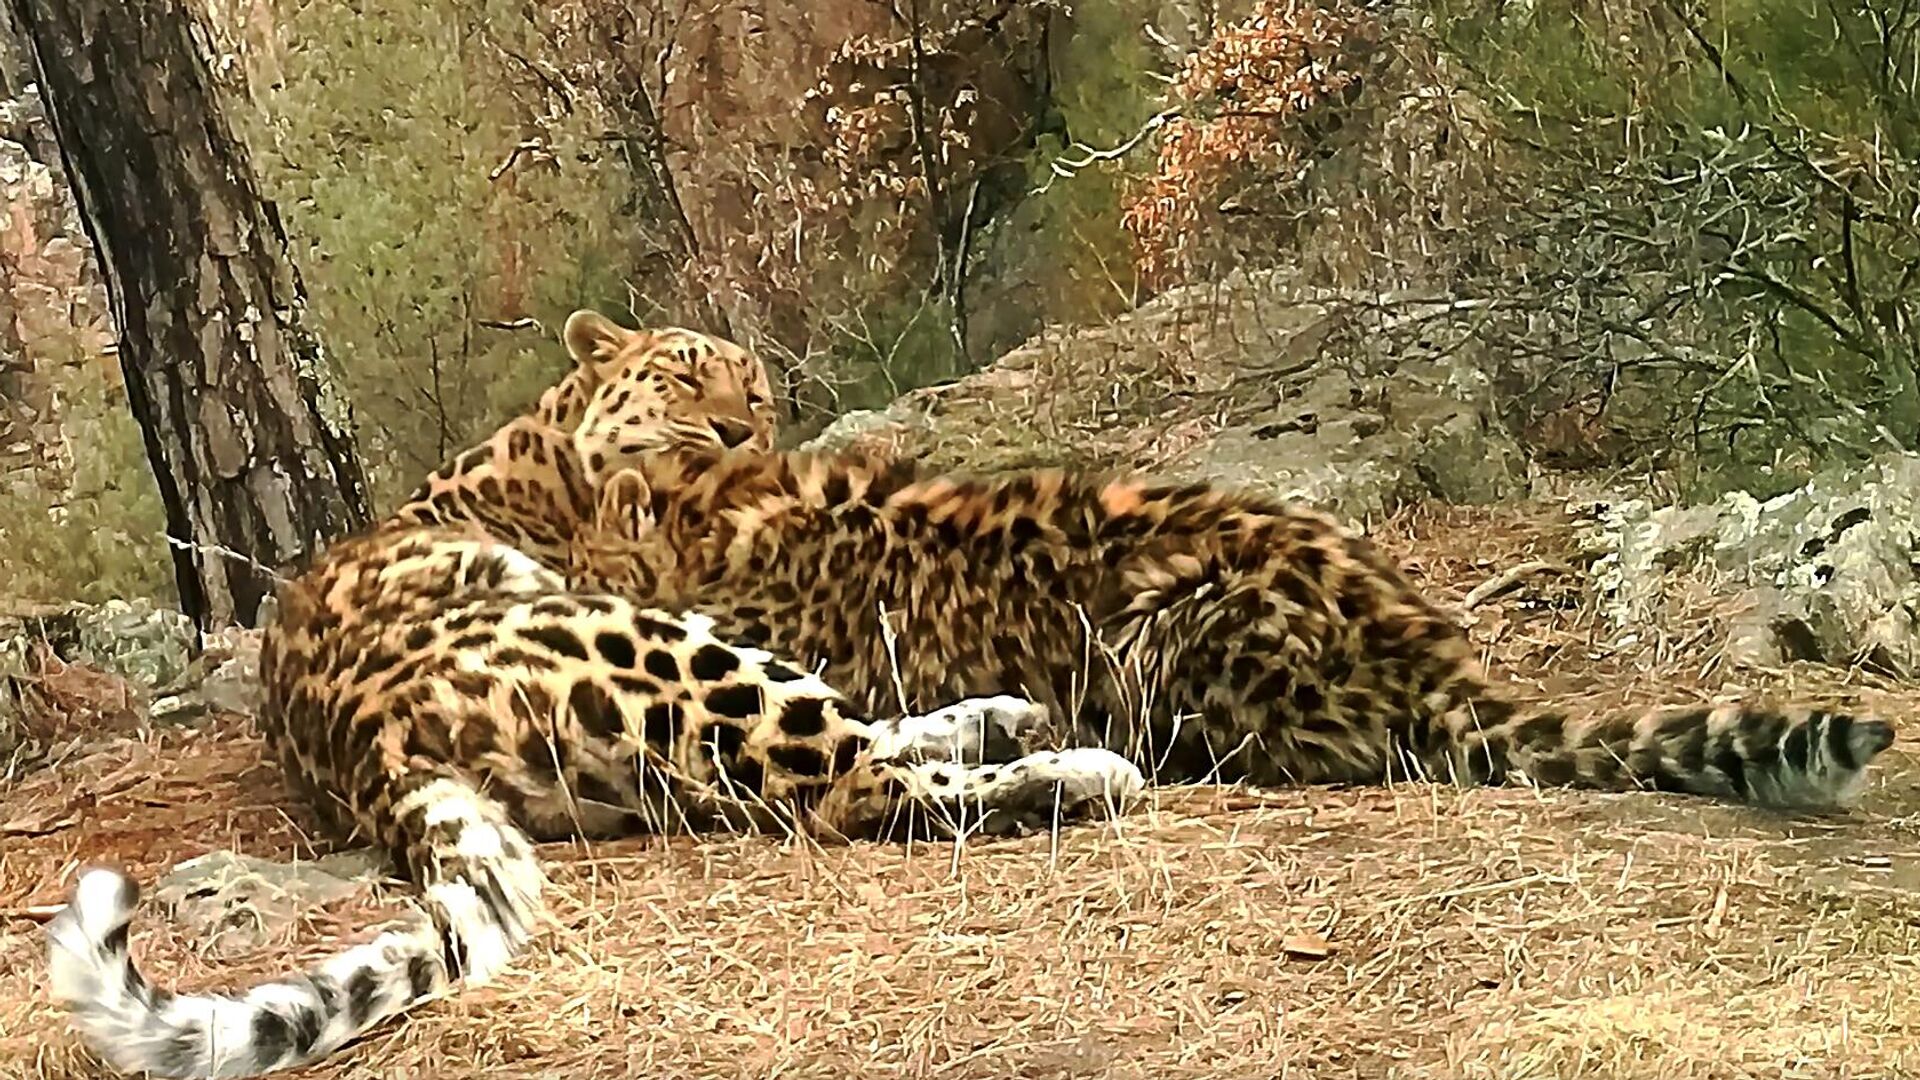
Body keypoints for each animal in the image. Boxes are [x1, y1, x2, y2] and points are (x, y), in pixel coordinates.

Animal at [45, 311, 1144, 1076]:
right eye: (686, 375)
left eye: (760, 396)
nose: (739, 431)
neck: (548, 452)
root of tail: (372, 744)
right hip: (657, 645)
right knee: (851, 781)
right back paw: (1079, 773)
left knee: (841, 754)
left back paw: (1009, 721)